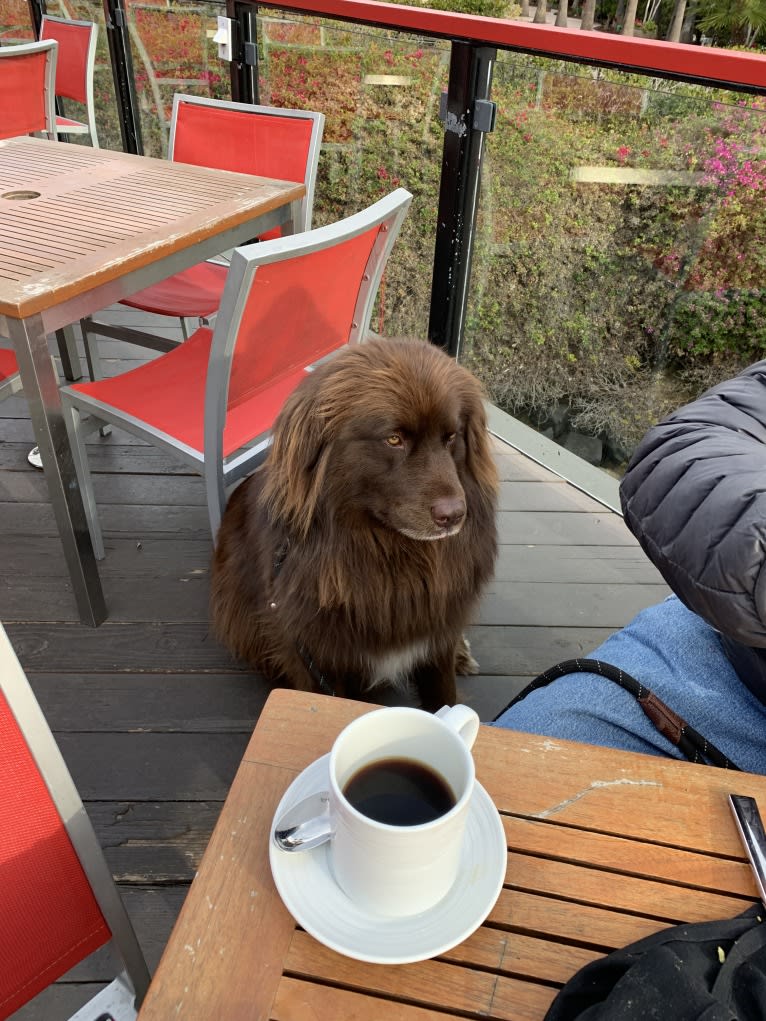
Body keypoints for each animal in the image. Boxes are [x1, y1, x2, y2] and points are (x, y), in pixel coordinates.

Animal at [208, 338, 498, 706]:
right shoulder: (314, 655)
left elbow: (444, 694)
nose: (454, 515)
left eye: (451, 437)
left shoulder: (436, 637)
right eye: (393, 439)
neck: (392, 558)